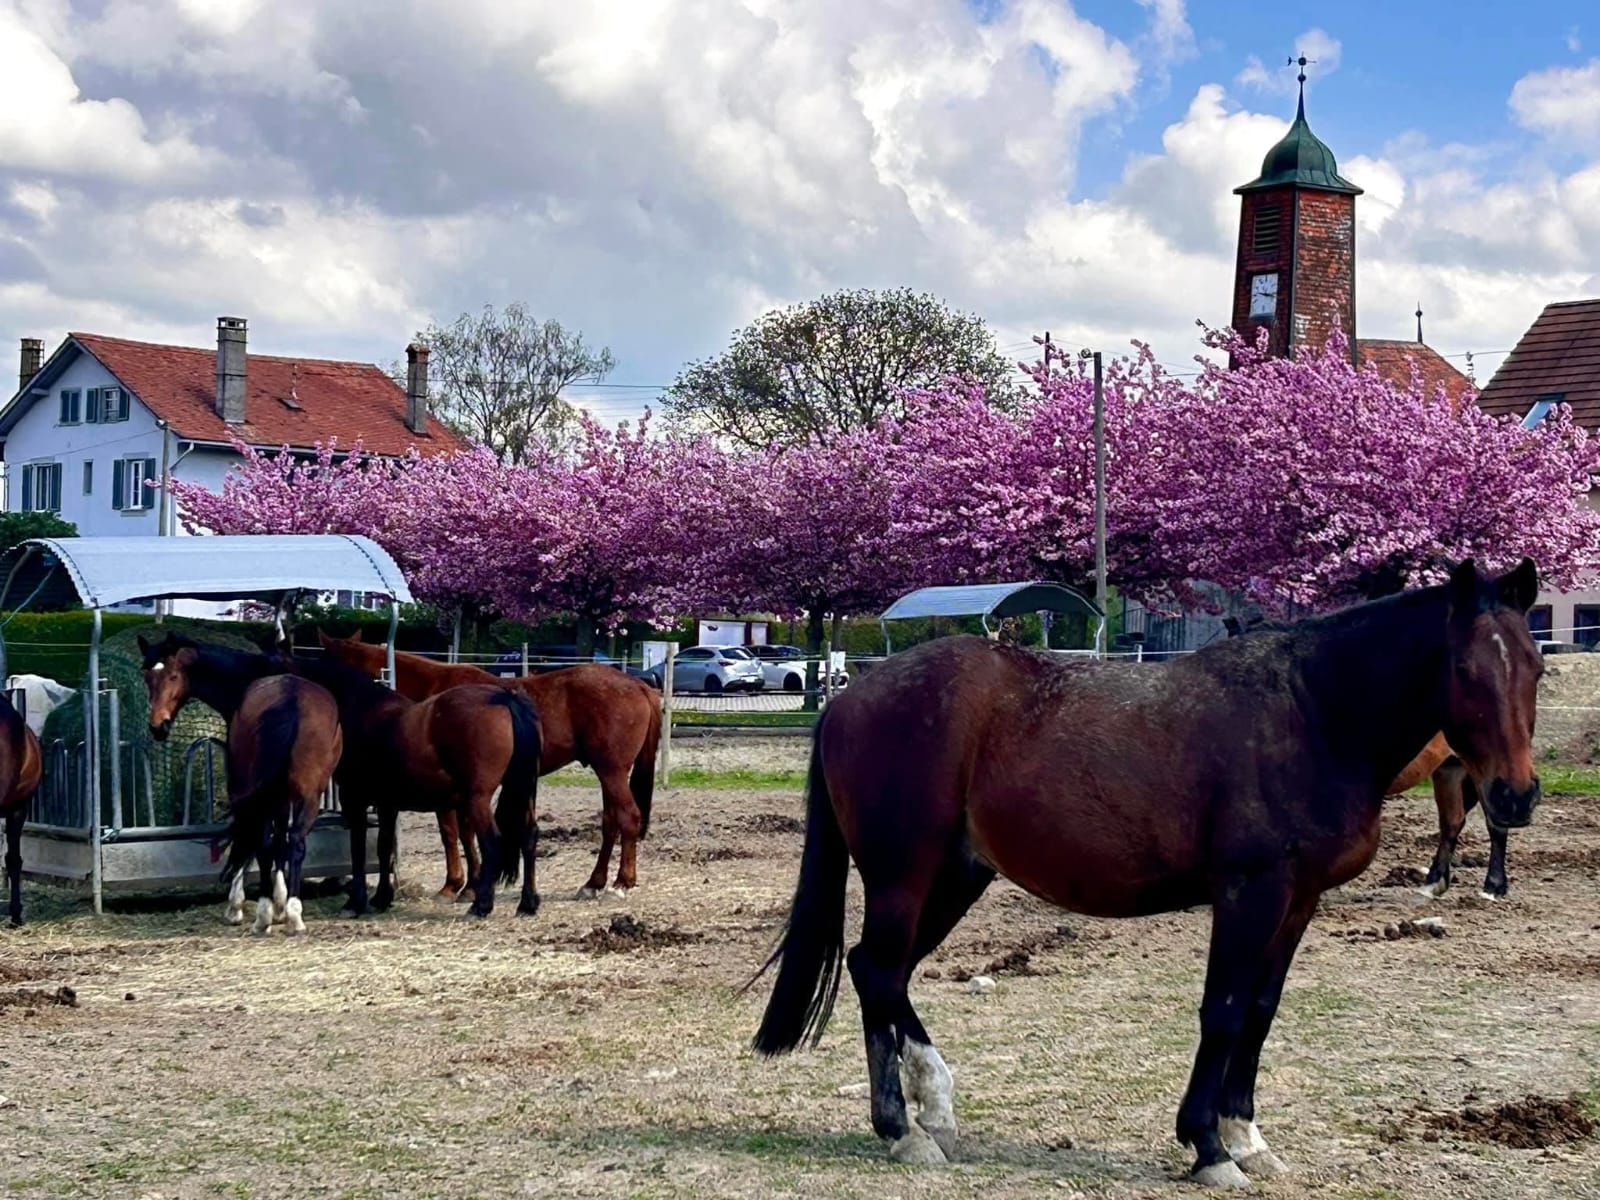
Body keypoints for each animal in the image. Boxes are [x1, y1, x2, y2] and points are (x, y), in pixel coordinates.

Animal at [140, 634, 343, 934]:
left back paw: (263, 916)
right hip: (308, 795)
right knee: (293, 842)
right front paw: (280, 903)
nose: (158, 726)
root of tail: (290, 702)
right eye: (146, 677)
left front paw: (239, 905)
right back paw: (293, 916)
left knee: (259, 839)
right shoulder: (281, 794)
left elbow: (247, 839)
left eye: (173, 675)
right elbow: (280, 839)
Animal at [315, 630, 661, 899]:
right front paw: (467, 883)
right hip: (608, 773)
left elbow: (454, 833)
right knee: (611, 823)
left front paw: (459, 885)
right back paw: (594, 882)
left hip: (611, 770)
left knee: (628, 817)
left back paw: (621, 883)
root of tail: (639, 685)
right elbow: (462, 833)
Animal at [748, 559, 1543, 1187]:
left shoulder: (1299, 900)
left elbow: (1260, 1011)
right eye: (1465, 670)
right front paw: (1208, 1147)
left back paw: (921, 1116)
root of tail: (850, 699)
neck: (1311, 713)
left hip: (954, 877)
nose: (1516, 795)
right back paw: (908, 1126)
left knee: (876, 970)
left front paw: (1247, 1136)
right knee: (881, 971)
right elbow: (1224, 1011)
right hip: (904, 876)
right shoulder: (1249, 894)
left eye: (1535, 668)